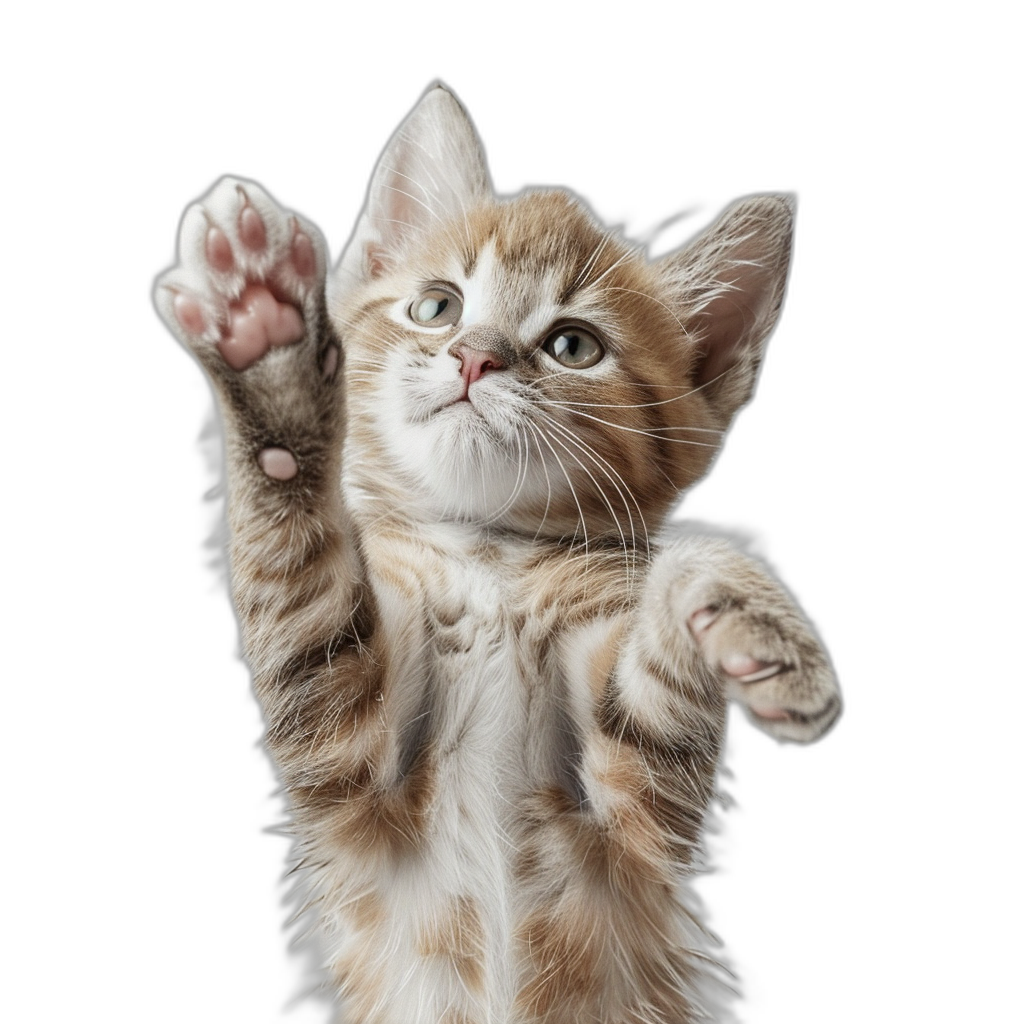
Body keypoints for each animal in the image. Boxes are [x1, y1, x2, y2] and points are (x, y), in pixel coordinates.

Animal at [153, 86, 839, 1024]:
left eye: (574, 346)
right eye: (437, 306)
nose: (474, 356)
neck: (490, 561)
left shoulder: (635, 813)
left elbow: (667, 652)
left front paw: (750, 619)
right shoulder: (345, 755)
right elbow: (300, 571)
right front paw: (267, 340)